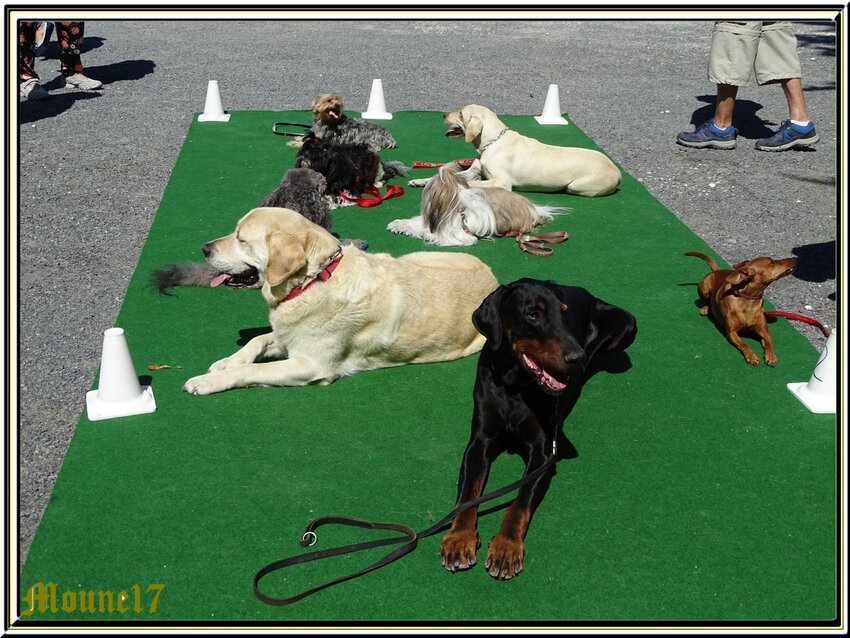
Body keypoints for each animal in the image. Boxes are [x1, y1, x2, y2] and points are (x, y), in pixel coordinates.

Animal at [181, 208, 496, 396]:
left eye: (241, 239)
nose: (205, 248)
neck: (314, 280)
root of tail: (492, 276)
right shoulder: (286, 337)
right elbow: (256, 341)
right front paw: (225, 363)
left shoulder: (311, 365)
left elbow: (253, 370)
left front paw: (206, 382)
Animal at [408, 105, 620, 198]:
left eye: (460, 114)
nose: (443, 115)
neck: (492, 142)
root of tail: (617, 171)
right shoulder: (472, 171)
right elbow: (442, 175)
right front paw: (420, 181)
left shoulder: (501, 183)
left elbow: (468, 183)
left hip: (576, 186)